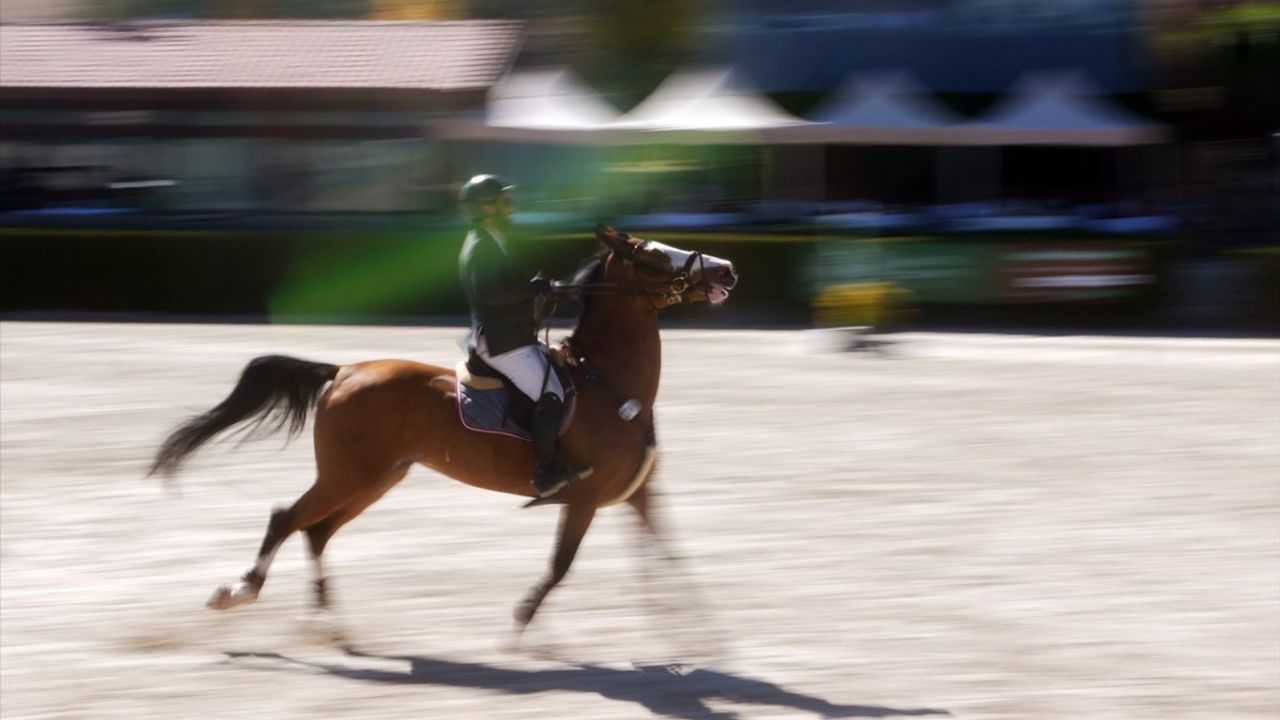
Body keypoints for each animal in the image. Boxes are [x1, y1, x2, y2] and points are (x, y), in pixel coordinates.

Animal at [147, 222, 742, 627]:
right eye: (653, 255)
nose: (726, 270)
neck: (609, 383)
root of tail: (343, 371)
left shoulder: (638, 494)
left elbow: (668, 556)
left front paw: (696, 634)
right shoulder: (585, 498)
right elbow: (561, 565)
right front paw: (522, 625)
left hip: (377, 477)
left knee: (314, 530)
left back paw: (326, 619)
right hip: (349, 475)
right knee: (286, 519)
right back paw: (240, 592)